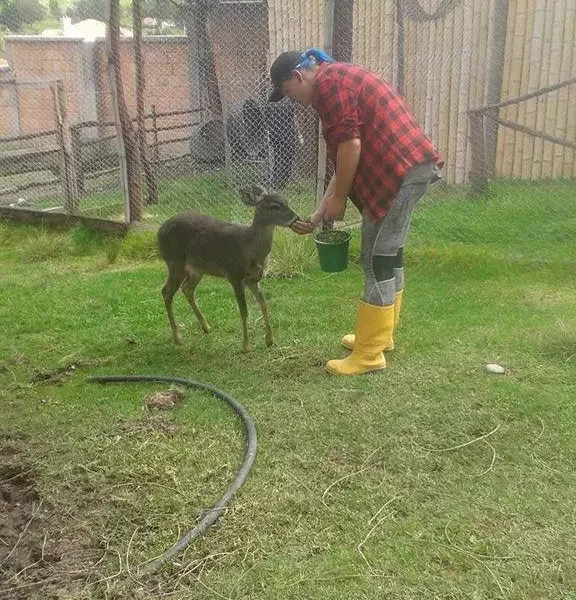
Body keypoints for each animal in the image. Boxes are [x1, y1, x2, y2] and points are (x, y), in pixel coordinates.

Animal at [159, 184, 302, 352]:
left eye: (285, 201)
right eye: (275, 206)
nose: (296, 218)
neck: (249, 246)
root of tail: (159, 231)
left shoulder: (253, 278)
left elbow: (263, 304)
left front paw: (269, 340)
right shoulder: (234, 274)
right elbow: (244, 310)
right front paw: (246, 346)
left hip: (196, 270)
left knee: (186, 288)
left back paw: (206, 327)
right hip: (175, 263)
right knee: (166, 292)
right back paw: (177, 337)